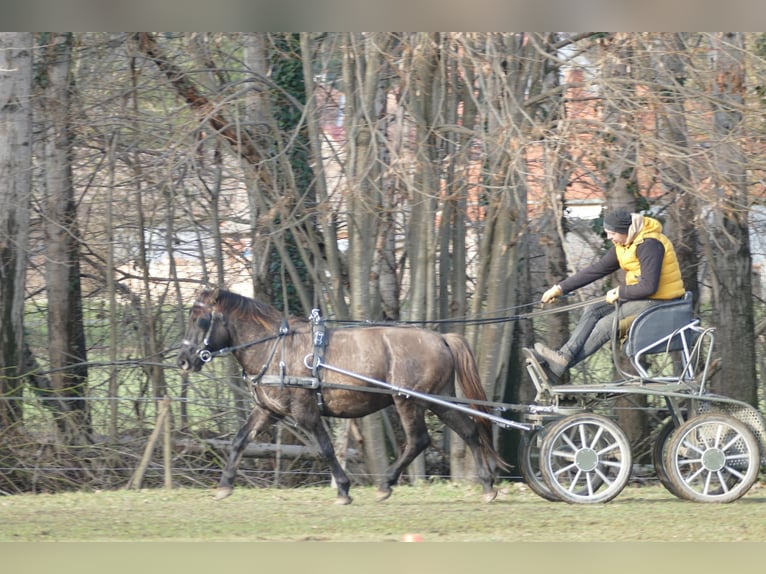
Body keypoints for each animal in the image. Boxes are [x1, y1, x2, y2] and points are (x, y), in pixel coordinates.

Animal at [177, 290, 508, 506]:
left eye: (200, 319)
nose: (183, 361)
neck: (275, 349)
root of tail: (440, 337)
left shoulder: (305, 411)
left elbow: (325, 448)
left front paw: (344, 491)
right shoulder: (267, 410)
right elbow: (239, 440)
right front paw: (224, 486)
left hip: (408, 400)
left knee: (418, 440)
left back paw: (385, 485)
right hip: (436, 399)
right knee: (469, 431)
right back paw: (487, 486)